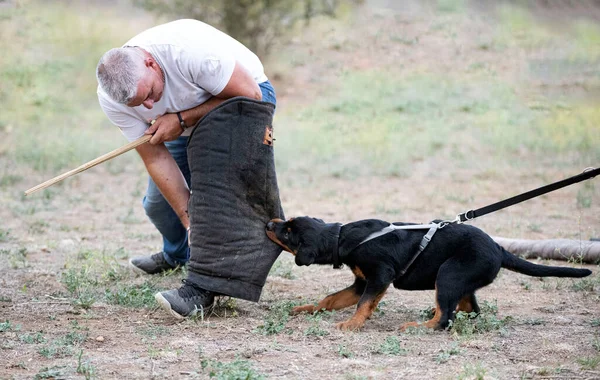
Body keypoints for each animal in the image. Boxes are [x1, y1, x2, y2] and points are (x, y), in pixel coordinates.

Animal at [266, 218, 592, 332]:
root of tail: (499, 249)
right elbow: (332, 299)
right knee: (468, 309)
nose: (269, 223)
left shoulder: (379, 276)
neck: (341, 237)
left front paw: (352, 324)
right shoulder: (362, 282)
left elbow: (362, 304)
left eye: (288, 231)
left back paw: (415, 326)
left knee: (444, 319)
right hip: (460, 280)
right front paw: (307, 309)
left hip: (448, 274)